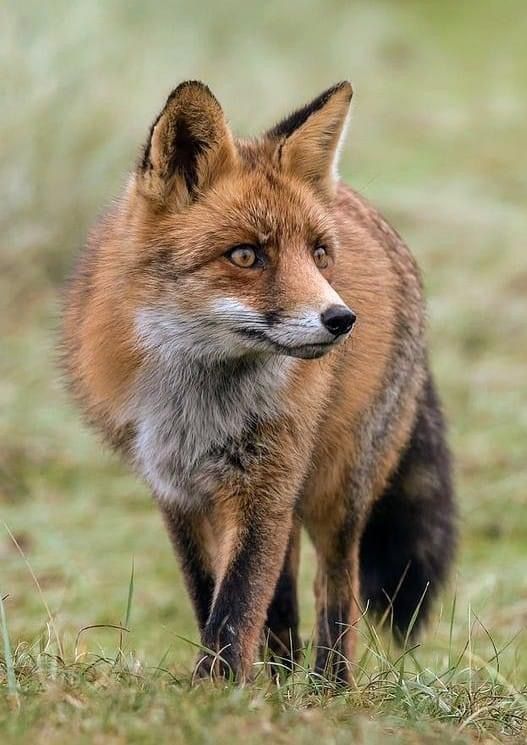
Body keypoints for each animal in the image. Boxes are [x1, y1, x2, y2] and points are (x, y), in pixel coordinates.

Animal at [60, 80, 458, 680]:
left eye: (319, 253)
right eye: (246, 255)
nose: (342, 319)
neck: (197, 402)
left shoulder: (265, 482)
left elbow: (238, 600)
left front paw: (216, 689)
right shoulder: (175, 488)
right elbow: (212, 596)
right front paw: (230, 685)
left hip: (337, 487)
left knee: (334, 585)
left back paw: (328, 686)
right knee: (288, 591)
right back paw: (281, 674)